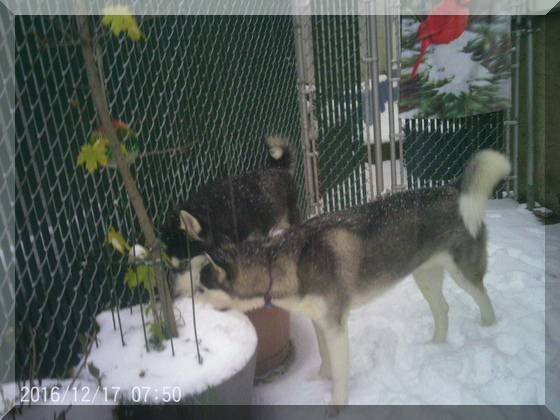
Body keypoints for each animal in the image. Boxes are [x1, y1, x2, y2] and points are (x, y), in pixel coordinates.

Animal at [195, 149, 510, 406]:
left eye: (199, 289)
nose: (192, 317)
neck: (281, 264)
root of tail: (450, 188)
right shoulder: (319, 321)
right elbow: (324, 358)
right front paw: (320, 378)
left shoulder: (336, 326)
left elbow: (340, 372)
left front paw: (336, 405)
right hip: (425, 275)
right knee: (442, 308)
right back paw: (436, 346)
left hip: (462, 273)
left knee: (483, 296)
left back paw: (489, 326)